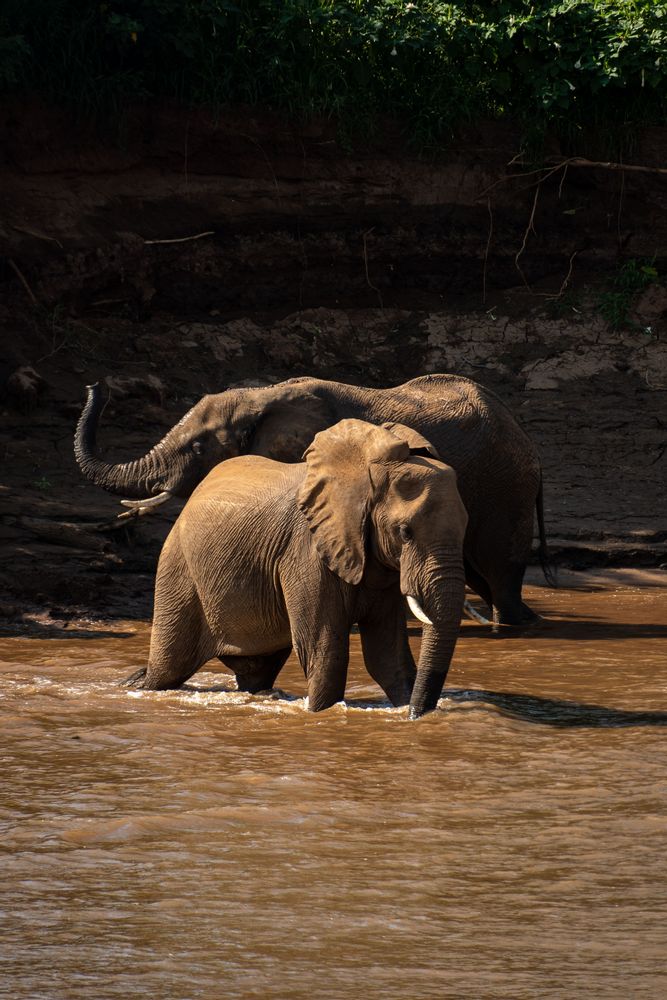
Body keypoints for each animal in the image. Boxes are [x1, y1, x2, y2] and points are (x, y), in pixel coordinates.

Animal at [125, 419, 468, 719]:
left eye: (466, 528)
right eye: (405, 532)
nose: (415, 716)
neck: (362, 474)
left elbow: (386, 656)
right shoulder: (305, 551)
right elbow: (326, 651)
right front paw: (320, 715)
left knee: (255, 671)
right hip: (178, 567)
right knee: (168, 668)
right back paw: (138, 684)